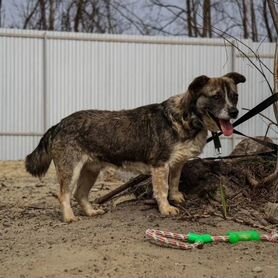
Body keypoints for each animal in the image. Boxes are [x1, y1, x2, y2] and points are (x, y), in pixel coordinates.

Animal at [24, 71, 245, 222]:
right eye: (216, 96)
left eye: (234, 96)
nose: (234, 112)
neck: (186, 117)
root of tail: (58, 124)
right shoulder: (160, 166)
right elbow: (162, 189)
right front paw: (166, 208)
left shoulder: (176, 164)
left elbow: (174, 183)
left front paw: (176, 198)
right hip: (71, 170)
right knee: (64, 194)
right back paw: (69, 217)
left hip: (90, 170)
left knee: (80, 194)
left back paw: (91, 212)